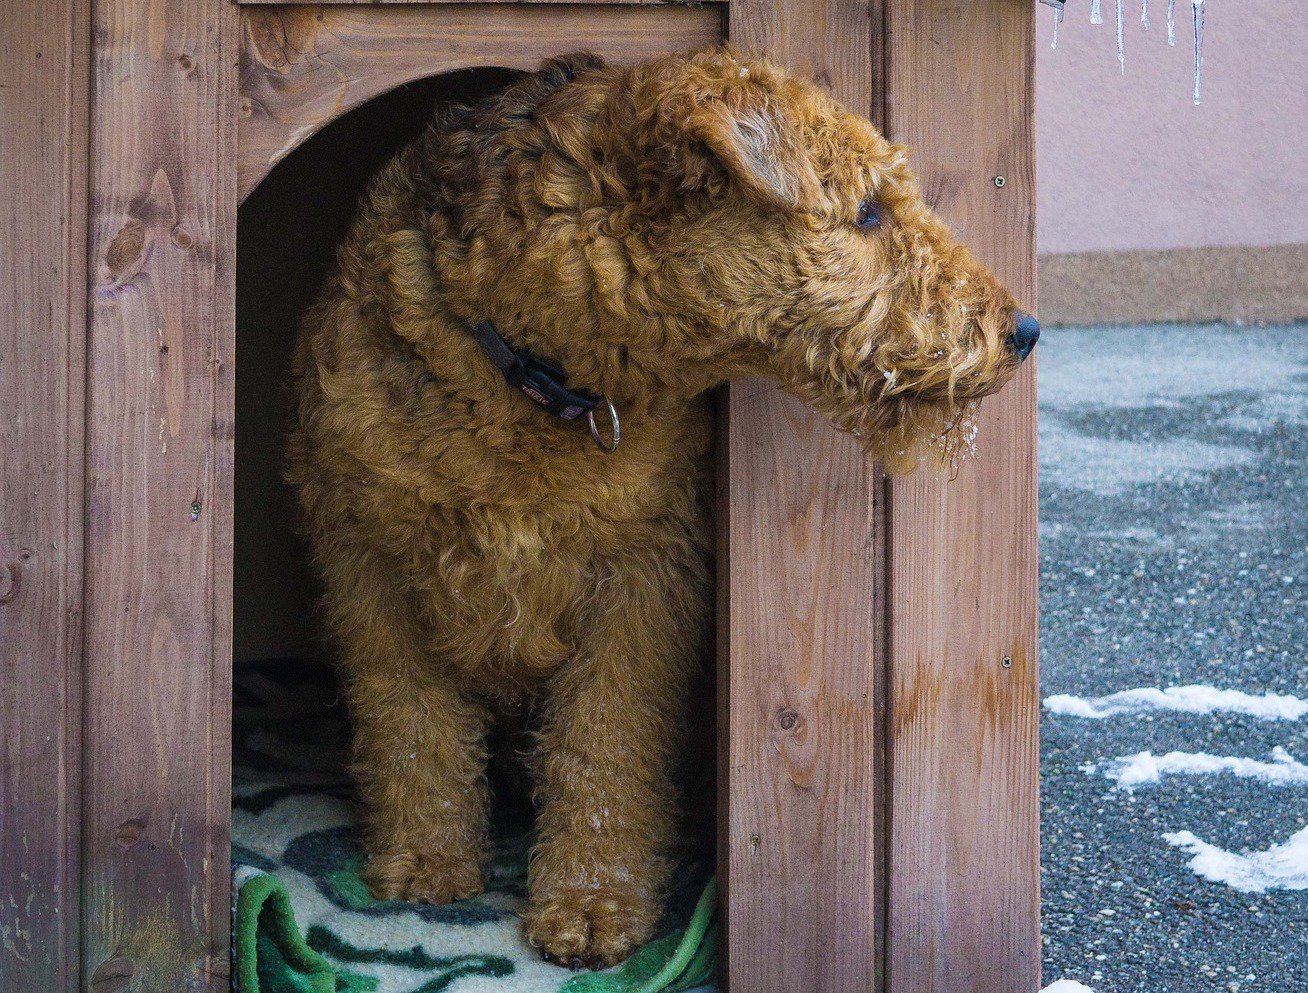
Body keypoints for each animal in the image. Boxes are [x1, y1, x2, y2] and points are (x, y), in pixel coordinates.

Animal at [291, 48, 1035, 973]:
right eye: (866, 210)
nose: (1024, 331)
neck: (534, 373)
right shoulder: (370, 563)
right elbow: (411, 725)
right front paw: (427, 861)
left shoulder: (645, 572)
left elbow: (606, 739)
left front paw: (593, 903)